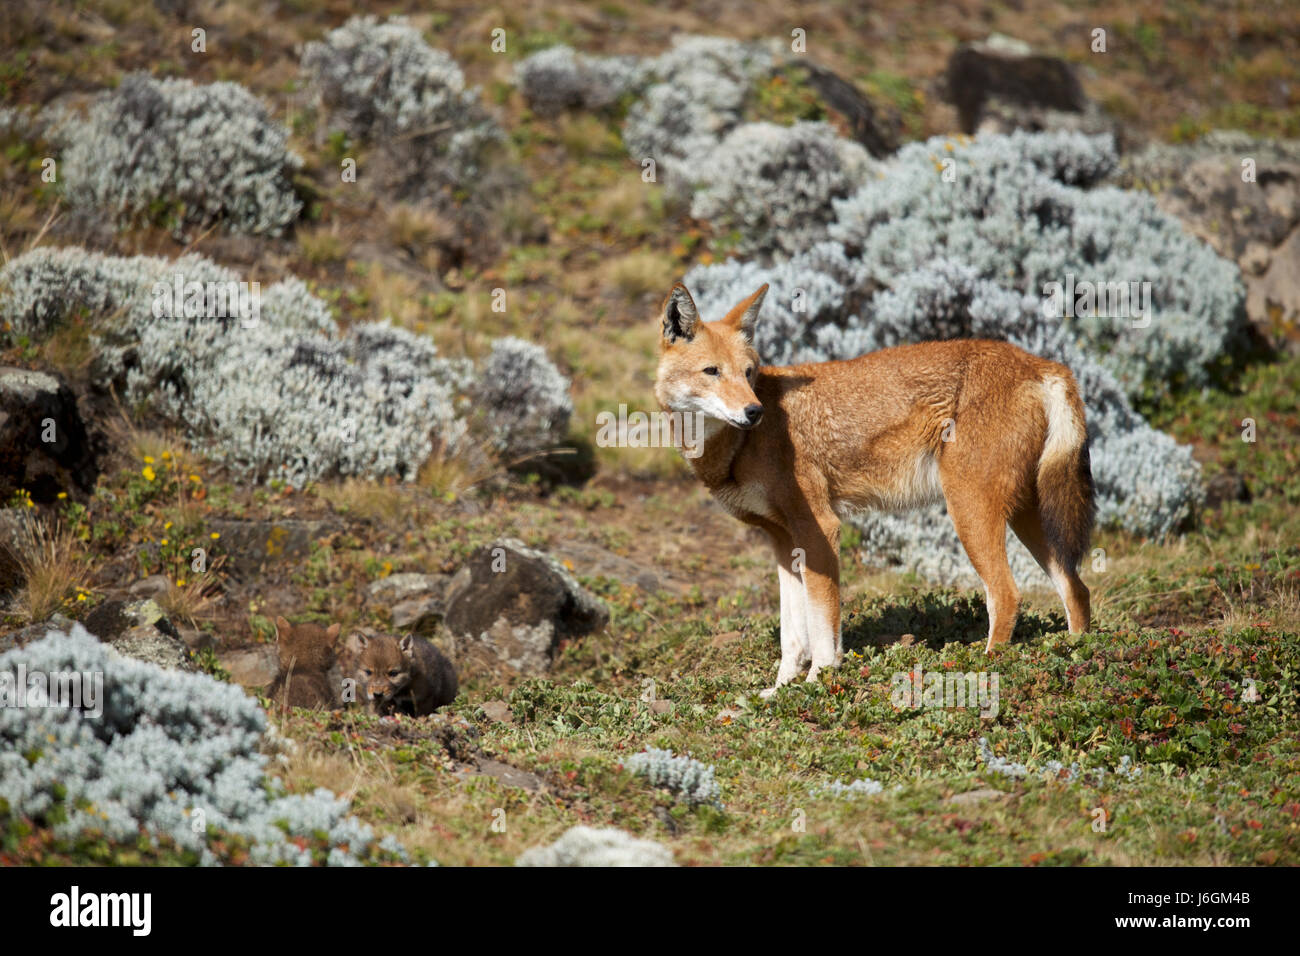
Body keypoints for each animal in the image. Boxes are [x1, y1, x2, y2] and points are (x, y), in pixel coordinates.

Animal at [655, 282, 1092, 697]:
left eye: (748, 373)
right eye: (712, 371)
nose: (754, 411)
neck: (739, 446)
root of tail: (1044, 364)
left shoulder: (820, 530)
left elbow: (823, 630)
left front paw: (817, 684)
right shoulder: (783, 543)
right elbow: (791, 636)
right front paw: (779, 692)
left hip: (971, 515)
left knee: (1007, 595)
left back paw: (984, 672)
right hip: (1028, 521)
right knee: (1077, 590)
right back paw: (1079, 657)